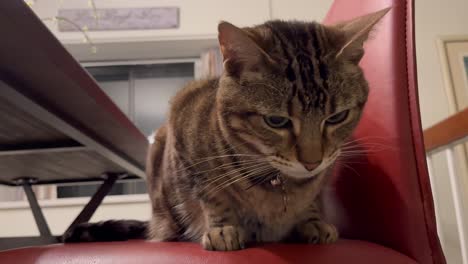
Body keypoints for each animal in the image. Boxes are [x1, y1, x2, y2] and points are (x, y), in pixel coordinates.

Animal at [64, 7, 390, 252]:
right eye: (277, 121)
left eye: (337, 117)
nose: (312, 162)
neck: (279, 185)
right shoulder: (183, 133)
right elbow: (212, 195)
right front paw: (224, 228)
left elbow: (312, 199)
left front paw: (312, 220)